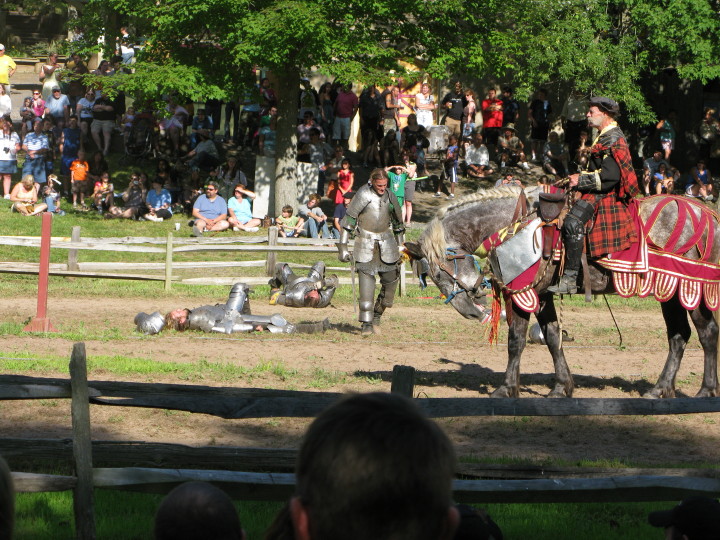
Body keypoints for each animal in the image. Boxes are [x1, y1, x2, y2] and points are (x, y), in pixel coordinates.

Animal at [404, 186, 720, 396]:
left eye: (437, 272)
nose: (469, 310)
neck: (511, 224)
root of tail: (707, 214)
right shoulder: (543, 294)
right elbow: (553, 337)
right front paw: (561, 386)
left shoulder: (521, 292)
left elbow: (516, 340)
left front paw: (506, 388)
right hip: (671, 293)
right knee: (679, 337)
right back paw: (661, 389)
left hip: (689, 288)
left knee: (706, 333)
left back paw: (705, 390)